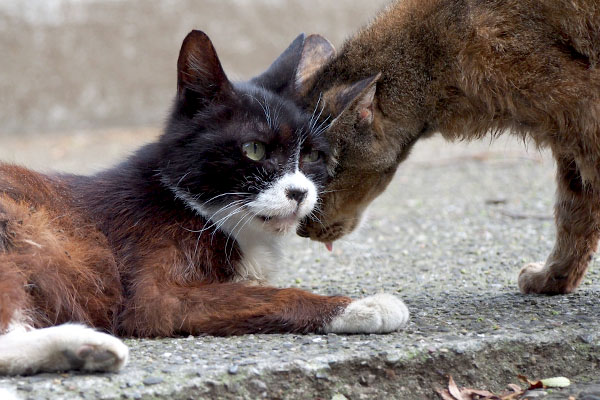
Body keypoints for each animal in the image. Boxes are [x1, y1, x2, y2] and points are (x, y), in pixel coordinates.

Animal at [292, 0, 596, 294]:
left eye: (326, 170)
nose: (300, 231)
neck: (434, 55)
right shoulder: (570, 139)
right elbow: (575, 210)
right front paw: (556, 276)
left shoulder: (583, 115)